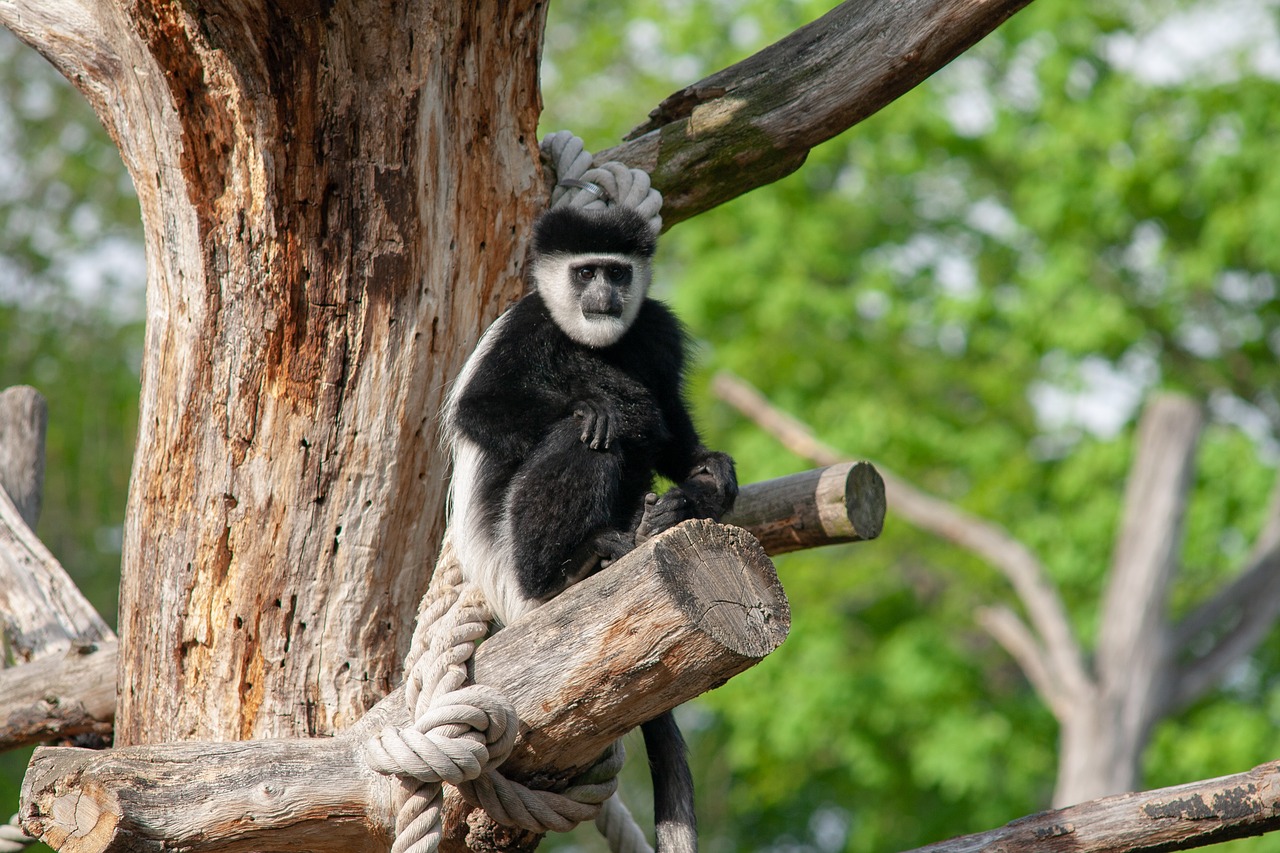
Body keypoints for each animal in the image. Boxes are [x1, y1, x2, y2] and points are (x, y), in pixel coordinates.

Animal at [442, 202, 737, 845]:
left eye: (617, 272)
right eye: (584, 273)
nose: (603, 294)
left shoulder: (656, 328)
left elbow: (674, 428)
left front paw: (711, 471)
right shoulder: (526, 325)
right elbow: (480, 408)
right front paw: (596, 406)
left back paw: (659, 518)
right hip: (511, 558)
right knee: (591, 436)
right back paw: (568, 567)